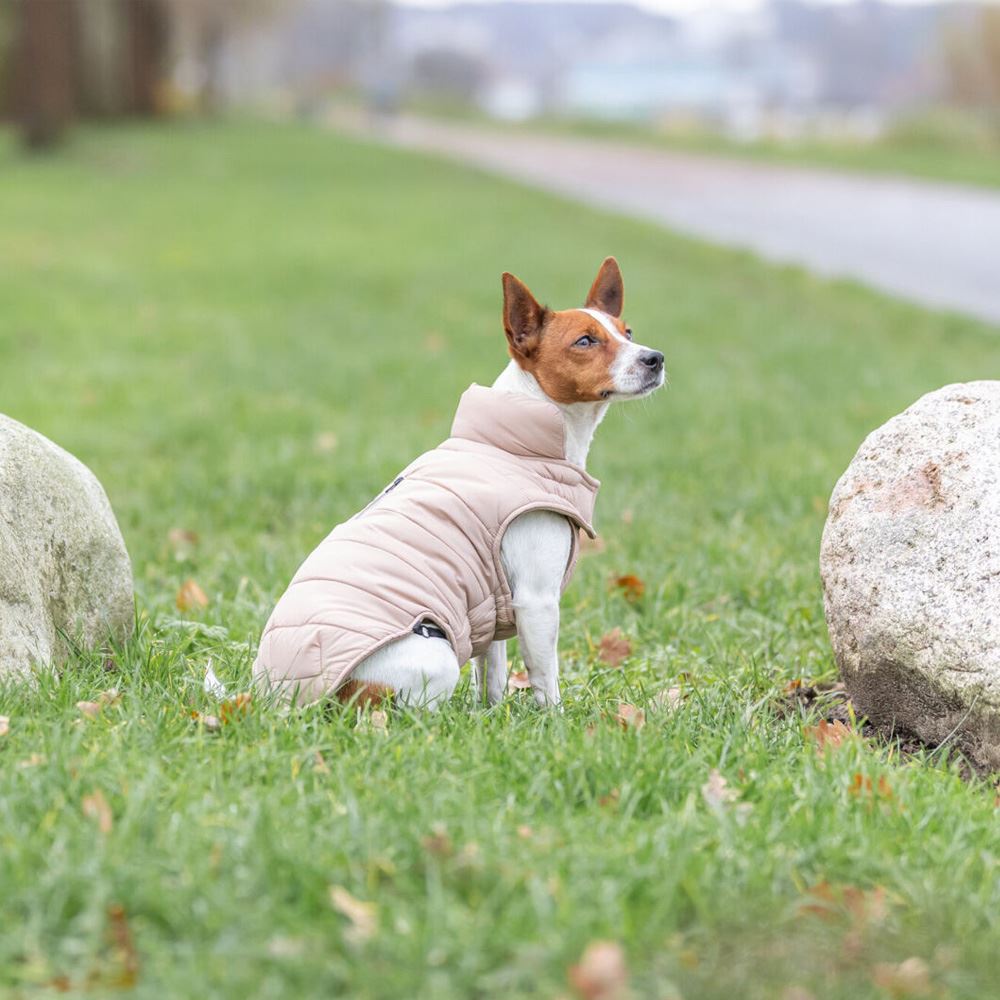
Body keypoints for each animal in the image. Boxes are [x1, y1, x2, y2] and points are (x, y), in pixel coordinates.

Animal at [252, 258, 664, 712]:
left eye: (628, 332)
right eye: (585, 341)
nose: (656, 358)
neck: (517, 440)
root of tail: (284, 698)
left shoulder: (496, 600)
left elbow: (493, 673)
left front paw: (494, 713)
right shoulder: (536, 599)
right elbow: (545, 676)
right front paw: (554, 720)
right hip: (435, 651)